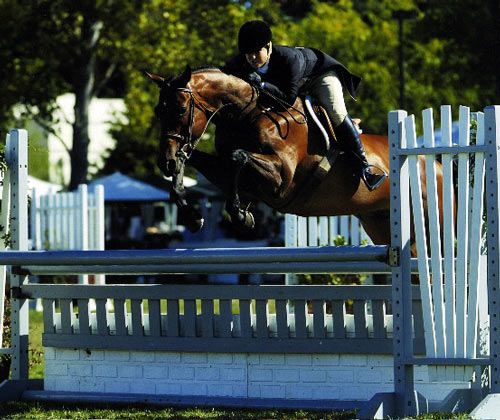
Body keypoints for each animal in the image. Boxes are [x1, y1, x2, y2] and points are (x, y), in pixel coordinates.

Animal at [146, 64, 444, 244]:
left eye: (180, 110)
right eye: (159, 111)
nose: (164, 161)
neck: (247, 112)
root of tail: (437, 164)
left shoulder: (282, 179)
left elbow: (238, 157)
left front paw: (240, 215)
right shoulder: (236, 177)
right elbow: (202, 162)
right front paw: (192, 214)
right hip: (381, 224)